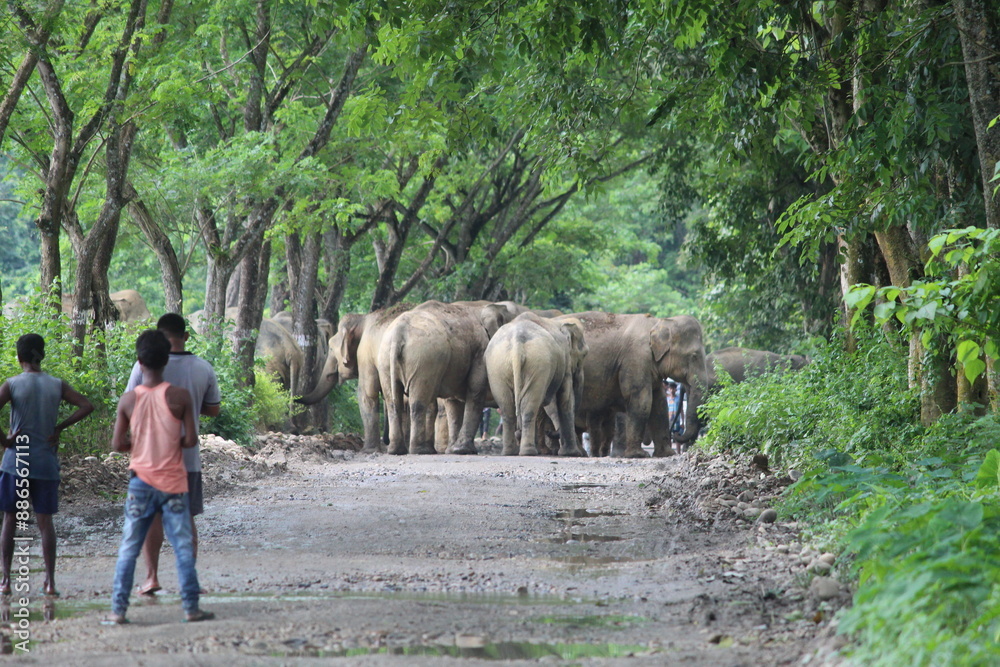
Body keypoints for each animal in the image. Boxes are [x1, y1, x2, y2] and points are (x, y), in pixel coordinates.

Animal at [378, 300, 516, 455]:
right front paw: (463, 450)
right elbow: (475, 391)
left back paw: (398, 450)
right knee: (418, 402)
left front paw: (454, 450)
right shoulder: (481, 351)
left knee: (394, 402)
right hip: (424, 358)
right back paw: (420, 450)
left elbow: (453, 401)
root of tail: (398, 332)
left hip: (386, 358)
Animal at [484, 313, 588, 457]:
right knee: (529, 407)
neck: (558, 322)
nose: (550, 432)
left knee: (507, 409)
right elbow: (565, 398)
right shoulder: (565, 359)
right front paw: (572, 454)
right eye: (584, 354)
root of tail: (517, 342)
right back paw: (528, 452)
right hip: (538, 362)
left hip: (497, 367)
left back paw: (511, 452)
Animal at [556, 312, 708, 458]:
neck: (659, 322)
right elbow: (641, 400)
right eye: (694, 356)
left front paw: (666, 454)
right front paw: (639, 455)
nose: (676, 434)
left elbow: (660, 404)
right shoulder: (636, 358)